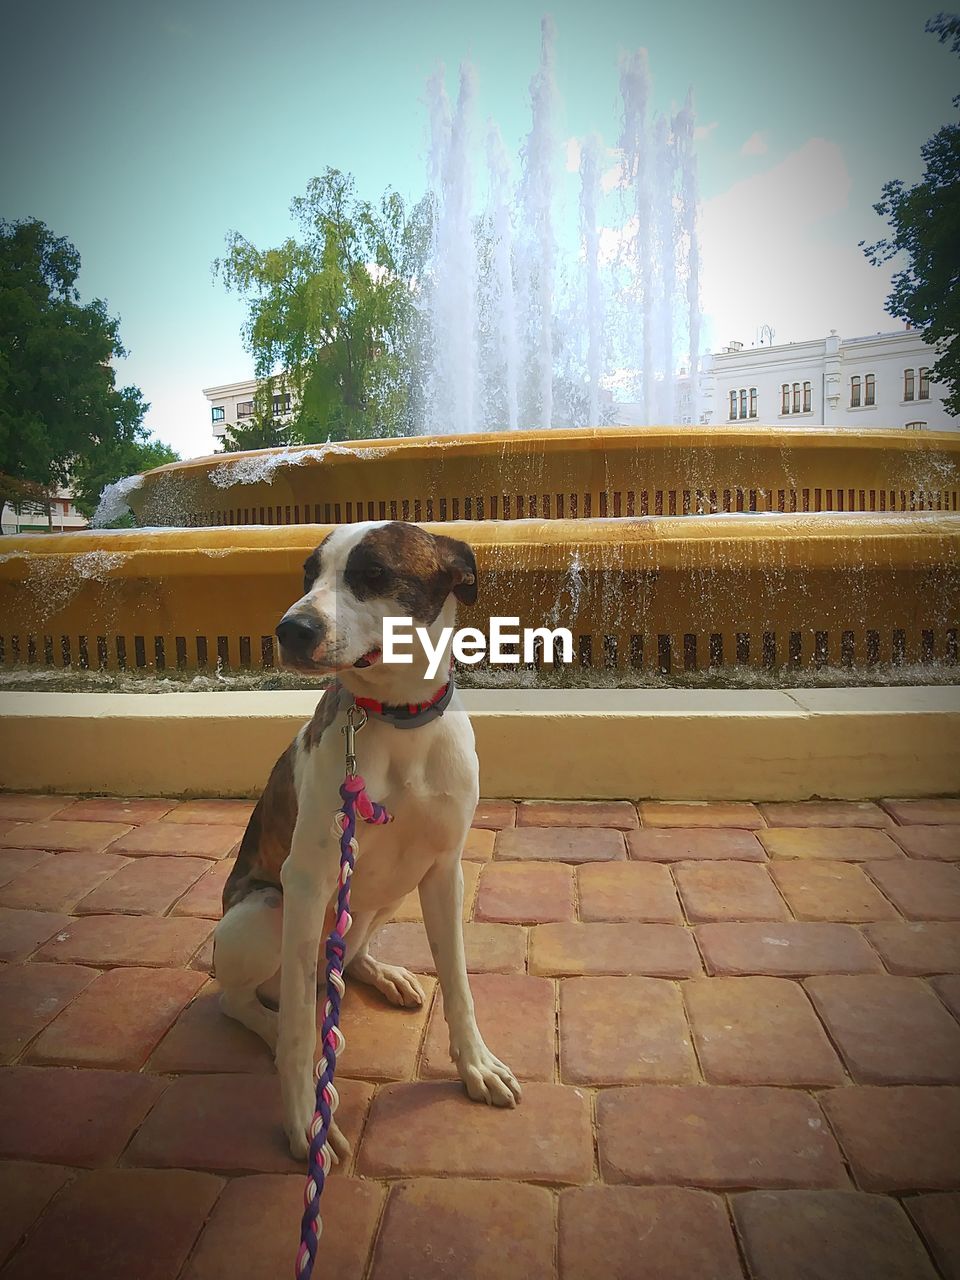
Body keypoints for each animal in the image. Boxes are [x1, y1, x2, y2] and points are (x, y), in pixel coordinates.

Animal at [213, 517, 522, 1162]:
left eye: (374, 573)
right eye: (308, 574)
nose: (291, 629)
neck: (396, 719)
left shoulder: (445, 871)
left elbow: (458, 981)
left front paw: (476, 1065)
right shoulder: (306, 884)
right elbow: (300, 1036)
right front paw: (304, 1124)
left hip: (386, 897)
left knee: (345, 959)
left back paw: (382, 974)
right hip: (266, 911)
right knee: (246, 1000)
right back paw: (274, 1025)